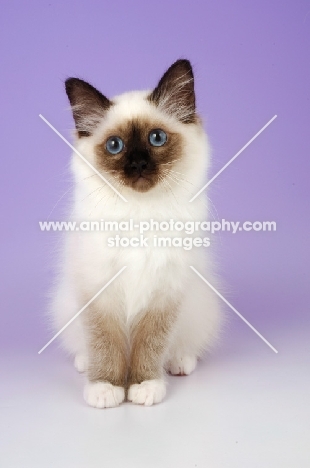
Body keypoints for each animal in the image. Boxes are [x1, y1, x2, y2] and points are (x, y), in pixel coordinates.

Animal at [52, 60, 223, 408]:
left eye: (156, 138)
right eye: (115, 146)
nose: (139, 164)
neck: (140, 217)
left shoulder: (164, 293)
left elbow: (150, 345)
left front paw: (144, 385)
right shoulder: (100, 291)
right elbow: (106, 344)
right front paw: (106, 388)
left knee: (183, 346)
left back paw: (180, 363)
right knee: (84, 345)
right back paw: (84, 363)